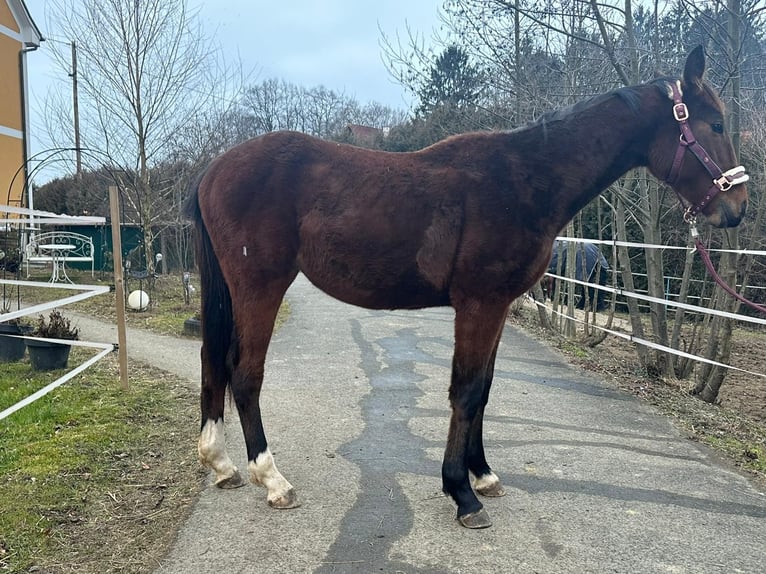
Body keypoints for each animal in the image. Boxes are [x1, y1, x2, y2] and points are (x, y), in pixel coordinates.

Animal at [188, 48, 752, 532]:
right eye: (716, 124)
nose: (737, 208)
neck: (524, 179)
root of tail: (213, 169)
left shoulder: (498, 306)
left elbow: (484, 389)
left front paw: (482, 475)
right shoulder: (478, 304)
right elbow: (464, 390)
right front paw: (462, 494)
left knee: (214, 362)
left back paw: (222, 464)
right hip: (261, 287)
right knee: (245, 373)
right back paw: (272, 480)